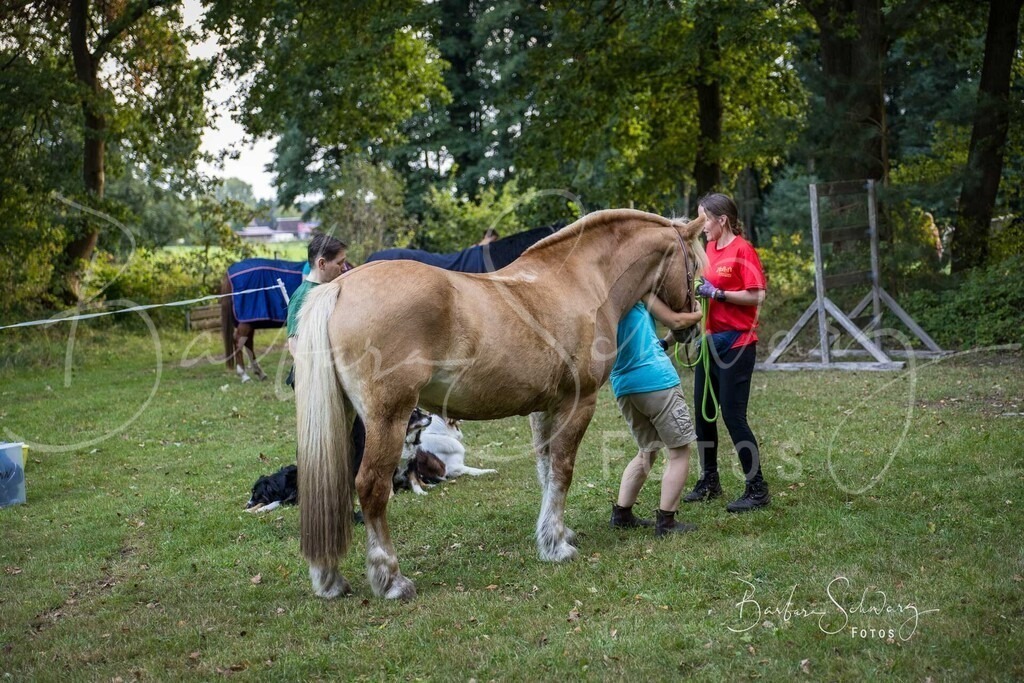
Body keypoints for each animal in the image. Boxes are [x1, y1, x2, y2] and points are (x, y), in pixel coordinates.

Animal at [293, 209, 707, 600]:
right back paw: (391, 580)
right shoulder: (578, 404)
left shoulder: (545, 409)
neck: (577, 284)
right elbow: (562, 471)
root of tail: (340, 287)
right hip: (388, 420)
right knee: (371, 488)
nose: (690, 328)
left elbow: (545, 471)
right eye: (694, 266)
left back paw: (330, 580)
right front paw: (557, 547)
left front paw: (555, 534)